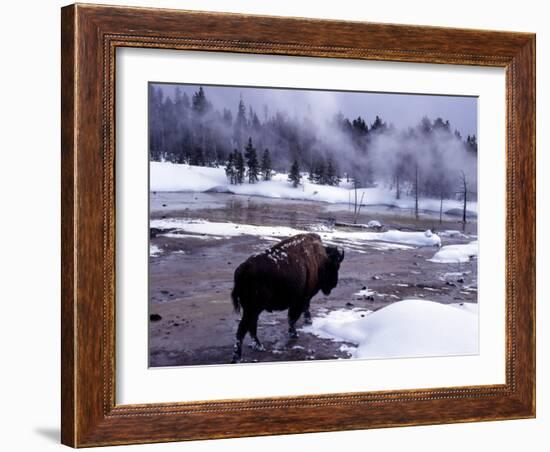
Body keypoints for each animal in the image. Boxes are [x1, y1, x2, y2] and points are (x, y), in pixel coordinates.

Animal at [230, 233, 342, 364]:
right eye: (335, 265)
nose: (334, 284)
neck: (321, 259)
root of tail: (243, 269)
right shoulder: (301, 299)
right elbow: (293, 317)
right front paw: (295, 333)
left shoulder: (301, 300)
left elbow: (298, 313)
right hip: (253, 309)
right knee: (243, 329)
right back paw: (238, 357)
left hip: (252, 310)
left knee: (251, 326)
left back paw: (258, 346)